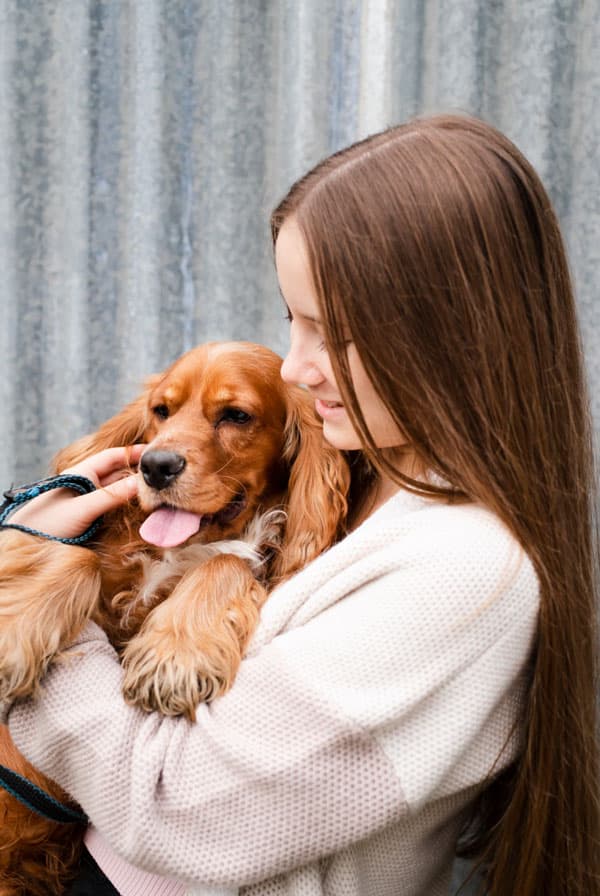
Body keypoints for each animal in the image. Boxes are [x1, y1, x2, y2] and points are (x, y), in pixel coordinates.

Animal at [0, 340, 350, 892]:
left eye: (236, 415)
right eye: (161, 411)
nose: (155, 465)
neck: (185, 545)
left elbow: (226, 563)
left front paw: (174, 656)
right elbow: (75, 556)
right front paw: (12, 637)